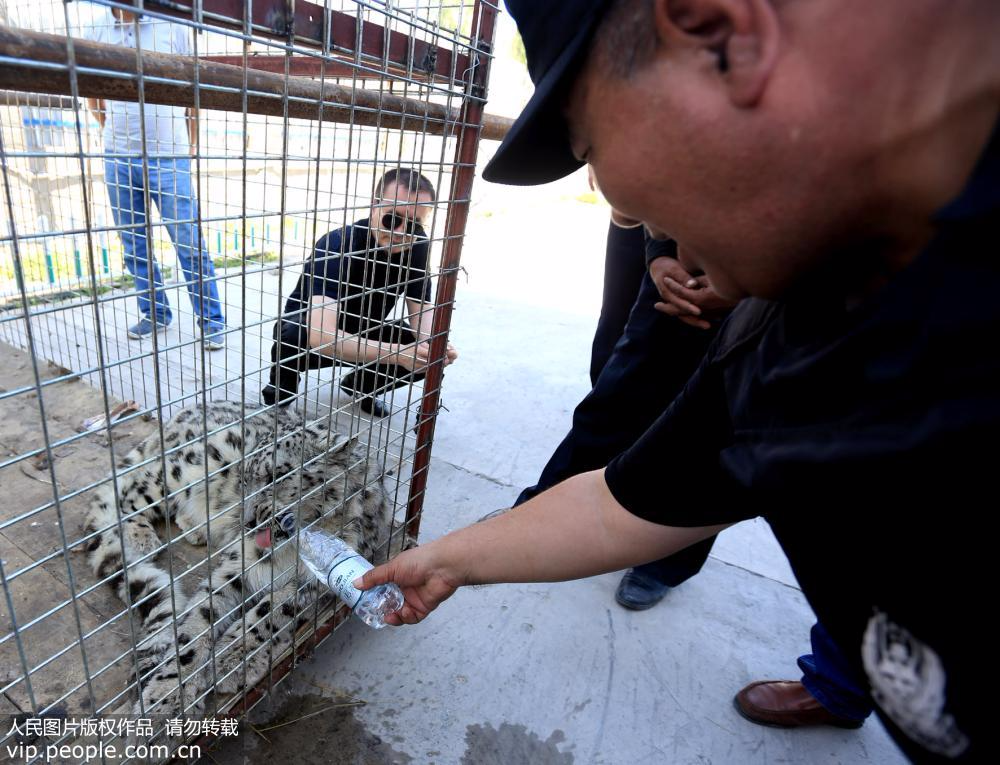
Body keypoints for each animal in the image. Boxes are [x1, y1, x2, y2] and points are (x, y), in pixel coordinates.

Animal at [82, 400, 396, 728]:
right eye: (243, 479)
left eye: (276, 476)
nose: (246, 521)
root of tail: (183, 413)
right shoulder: (237, 564)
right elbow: (199, 619)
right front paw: (167, 698)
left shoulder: (317, 583)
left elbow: (271, 612)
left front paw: (231, 660)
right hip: (178, 471)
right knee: (127, 496)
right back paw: (141, 537)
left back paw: (194, 527)